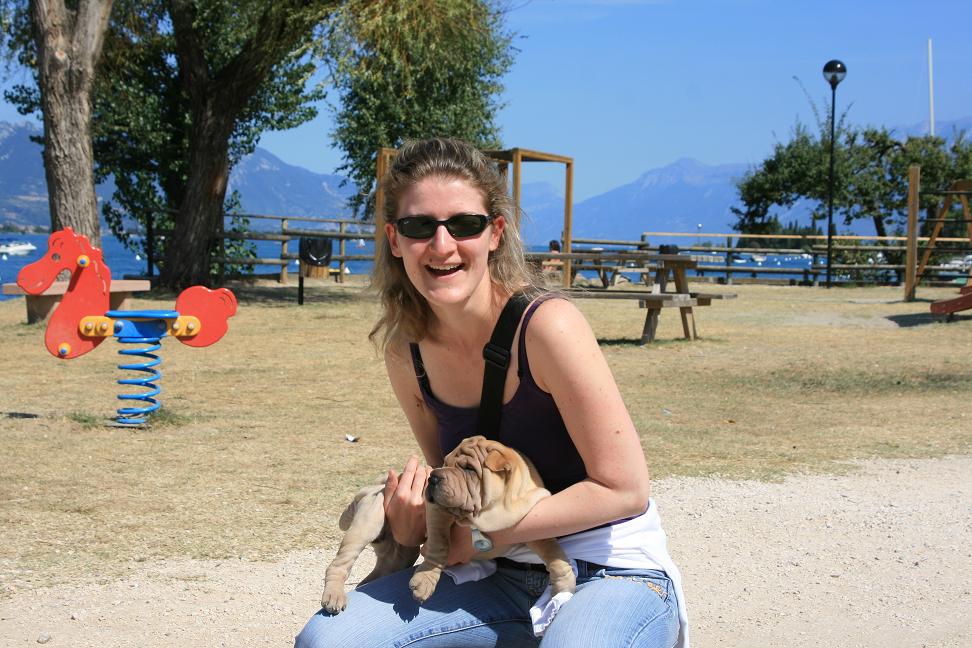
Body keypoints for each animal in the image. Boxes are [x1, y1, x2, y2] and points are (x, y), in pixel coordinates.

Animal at [408, 435, 576, 603]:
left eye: (469, 469)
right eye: (445, 463)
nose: (433, 477)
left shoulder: (533, 524)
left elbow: (552, 550)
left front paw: (564, 583)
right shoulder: (436, 510)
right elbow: (439, 544)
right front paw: (424, 579)